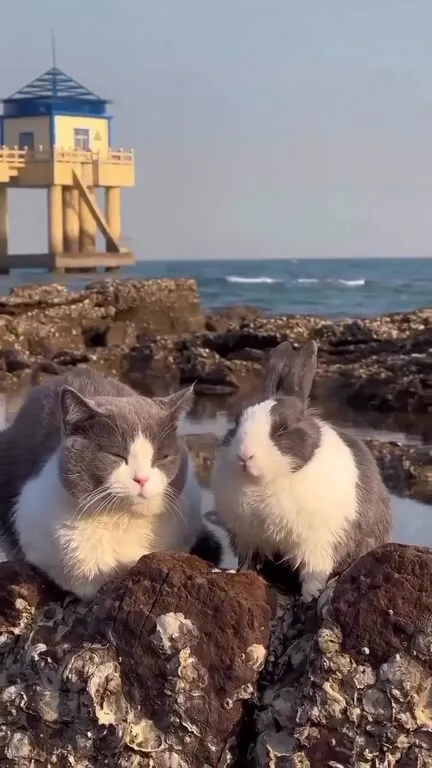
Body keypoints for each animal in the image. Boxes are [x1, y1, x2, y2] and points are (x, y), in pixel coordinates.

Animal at [211, 340, 392, 602]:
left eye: (283, 428)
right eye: (236, 422)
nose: (245, 455)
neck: (264, 482)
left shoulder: (318, 544)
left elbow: (313, 573)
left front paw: (310, 595)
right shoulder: (247, 539)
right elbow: (249, 562)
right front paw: (239, 574)